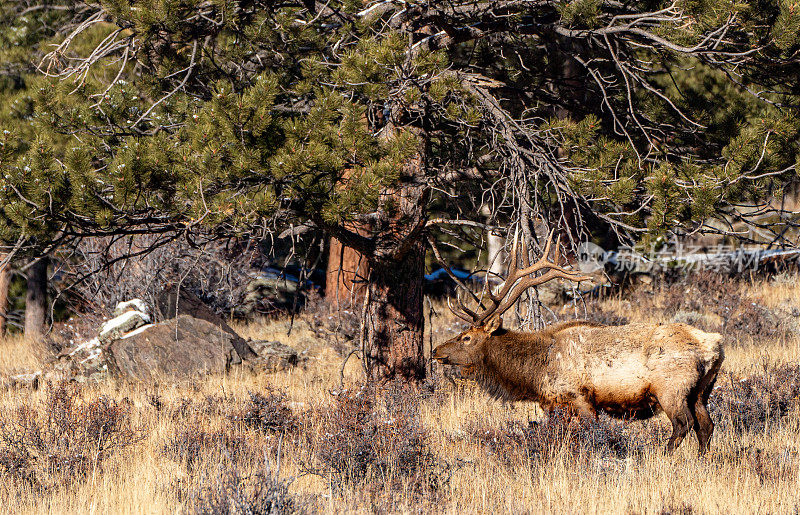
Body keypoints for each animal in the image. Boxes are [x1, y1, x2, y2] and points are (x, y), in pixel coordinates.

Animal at [434, 234, 720, 456]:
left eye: (466, 337)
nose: (437, 351)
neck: (535, 372)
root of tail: (714, 346)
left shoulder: (580, 397)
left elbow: (590, 431)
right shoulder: (555, 403)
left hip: (672, 388)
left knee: (683, 424)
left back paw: (663, 458)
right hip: (701, 391)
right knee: (705, 426)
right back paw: (701, 461)